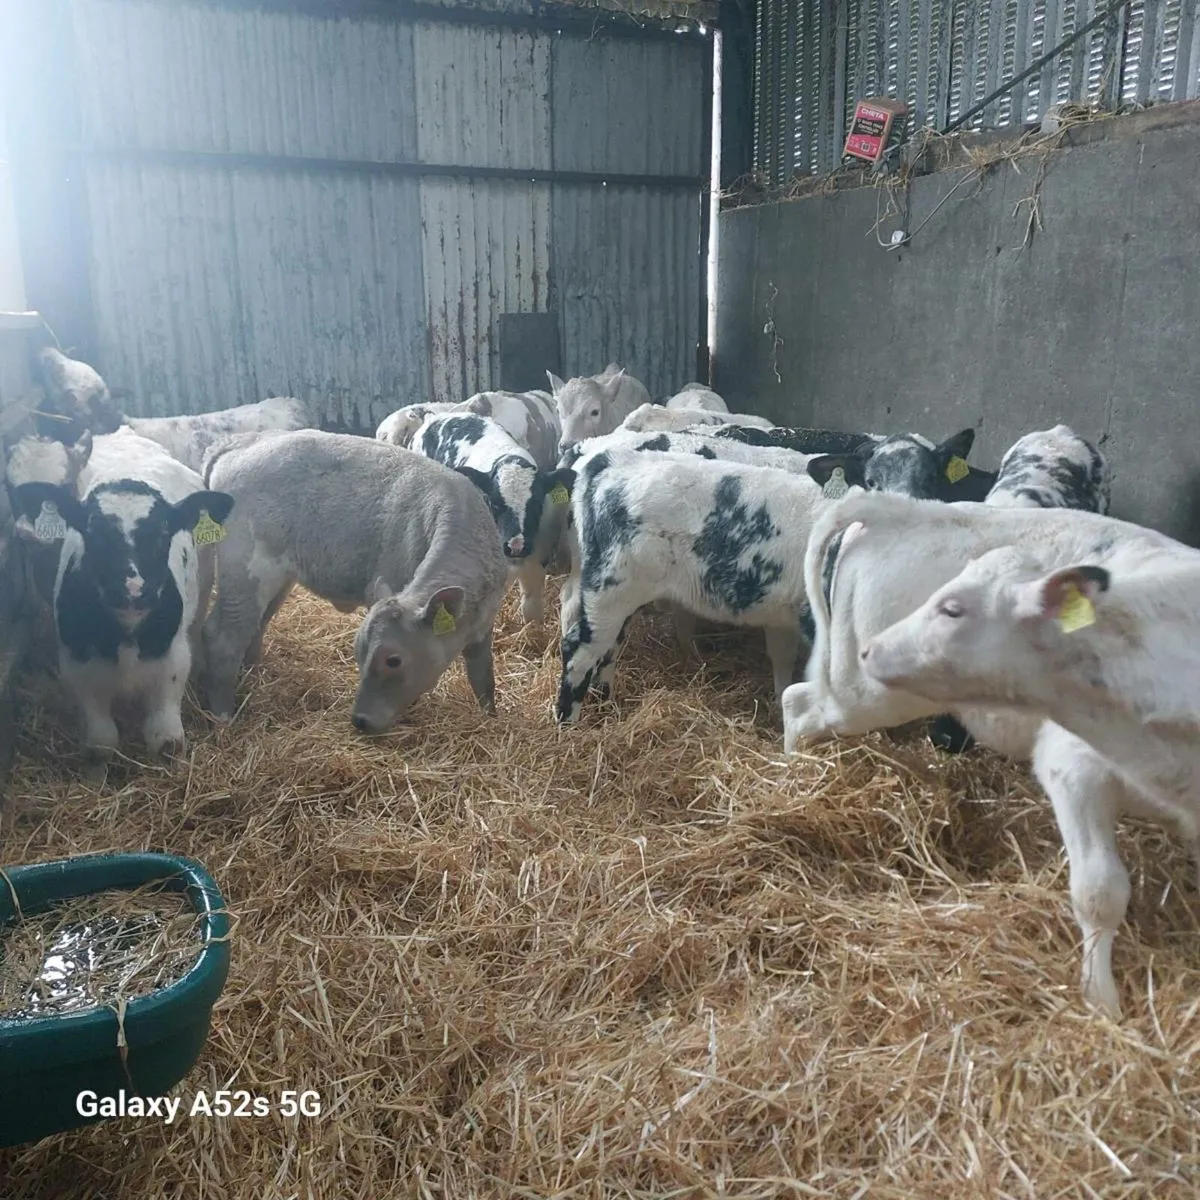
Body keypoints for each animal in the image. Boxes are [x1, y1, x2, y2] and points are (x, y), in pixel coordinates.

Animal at [10, 427, 233, 779]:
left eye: (163, 534)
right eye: (93, 534)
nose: (133, 590)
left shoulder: (171, 661)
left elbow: (166, 741)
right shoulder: (78, 667)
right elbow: (100, 744)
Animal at [200, 430, 508, 732]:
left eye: (393, 660)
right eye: (360, 654)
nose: (359, 720)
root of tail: (239, 447)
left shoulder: (483, 627)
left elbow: (483, 677)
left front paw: (491, 719)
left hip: (276, 581)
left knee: (255, 628)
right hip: (246, 572)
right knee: (223, 637)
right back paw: (224, 718)